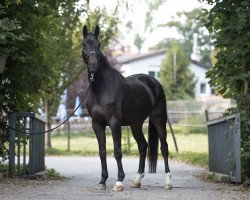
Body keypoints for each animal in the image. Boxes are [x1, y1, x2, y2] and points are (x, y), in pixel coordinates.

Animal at [82, 25, 172, 191]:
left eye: (98, 45)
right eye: (84, 44)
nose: (93, 66)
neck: (101, 89)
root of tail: (155, 82)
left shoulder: (114, 123)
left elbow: (117, 151)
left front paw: (119, 181)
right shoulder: (97, 124)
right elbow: (102, 152)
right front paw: (102, 181)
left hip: (159, 120)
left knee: (164, 147)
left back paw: (168, 182)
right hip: (135, 124)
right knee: (143, 146)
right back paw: (137, 180)